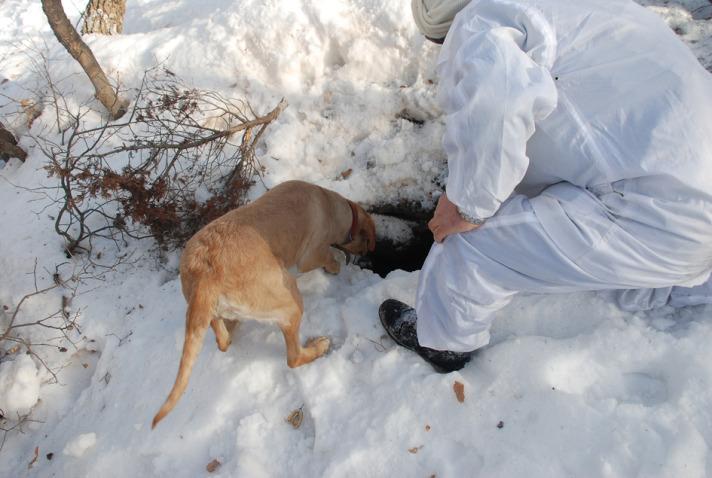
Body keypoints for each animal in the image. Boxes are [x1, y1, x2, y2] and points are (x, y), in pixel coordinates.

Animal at [152, 181, 376, 428]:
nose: (367, 257)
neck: (331, 204)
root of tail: (205, 277)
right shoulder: (311, 256)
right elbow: (328, 258)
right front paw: (335, 267)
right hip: (290, 299)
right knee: (293, 357)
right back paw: (318, 347)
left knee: (222, 339)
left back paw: (230, 325)